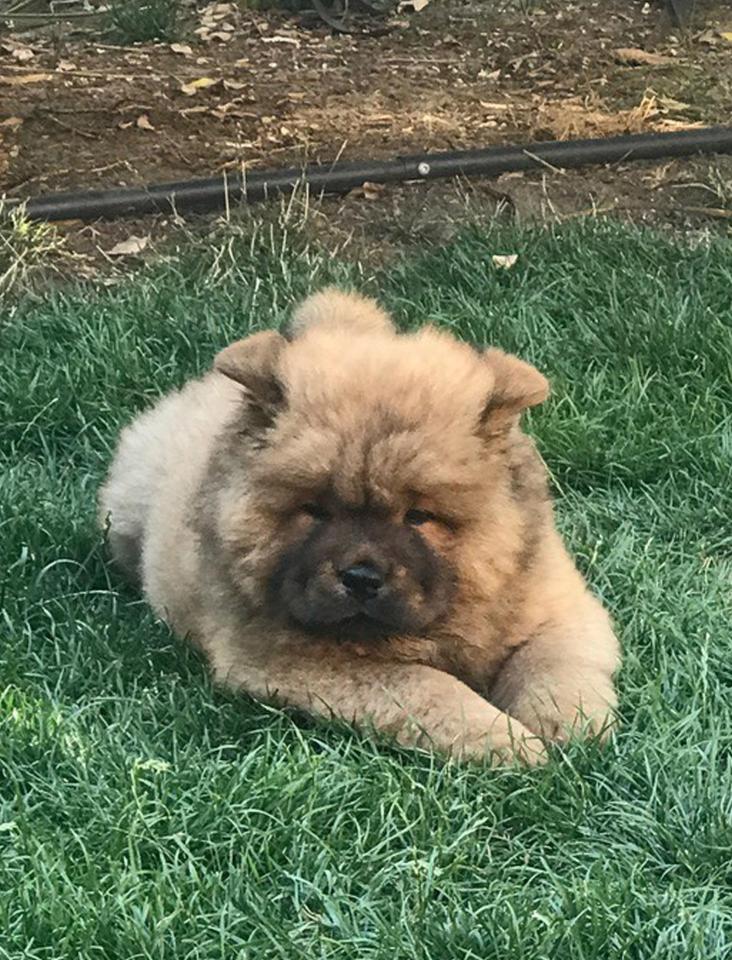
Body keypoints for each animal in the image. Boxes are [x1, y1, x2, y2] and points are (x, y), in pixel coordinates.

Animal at [100, 288, 620, 768]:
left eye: (418, 516)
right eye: (315, 510)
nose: (361, 578)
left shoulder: (559, 604)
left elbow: (553, 664)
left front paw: (565, 728)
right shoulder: (293, 657)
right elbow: (423, 686)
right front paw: (505, 741)